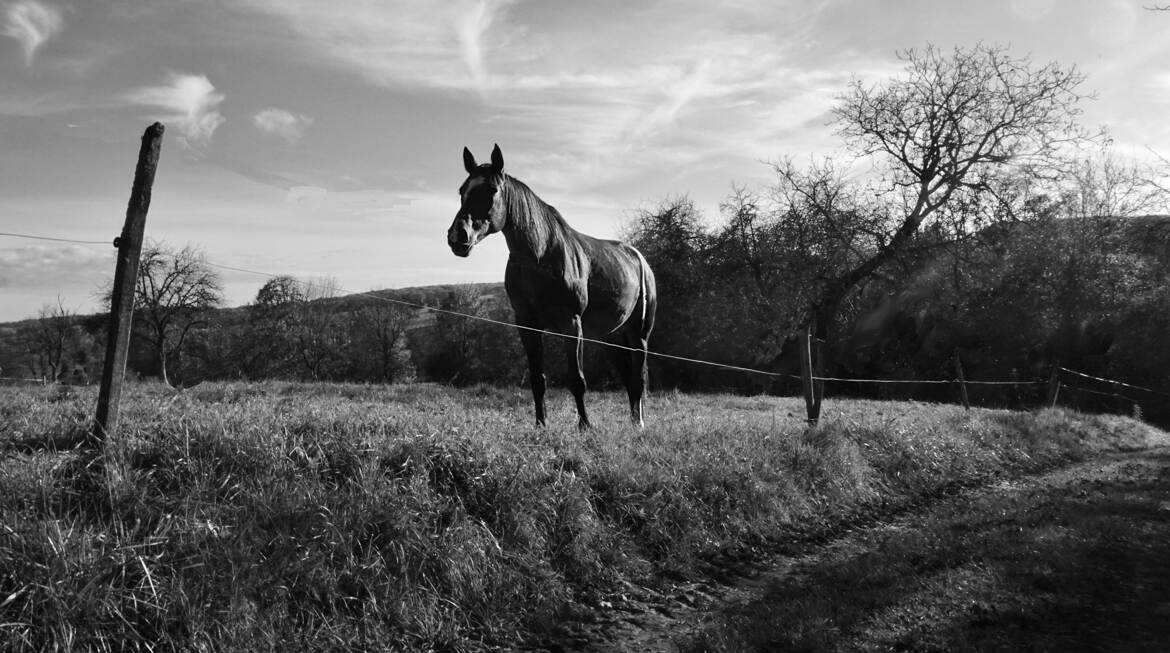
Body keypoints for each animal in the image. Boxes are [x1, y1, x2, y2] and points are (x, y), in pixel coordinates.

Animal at [444, 144, 655, 430]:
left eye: (492, 190)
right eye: (462, 190)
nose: (458, 237)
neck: (541, 255)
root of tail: (640, 259)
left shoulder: (572, 325)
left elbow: (577, 380)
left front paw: (584, 426)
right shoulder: (527, 325)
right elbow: (537, 379)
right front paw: (541, 424)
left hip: (638, 335)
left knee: (638, 377)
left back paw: (639, 423)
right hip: (610, 337)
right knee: (628, 379)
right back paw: (633, 420)